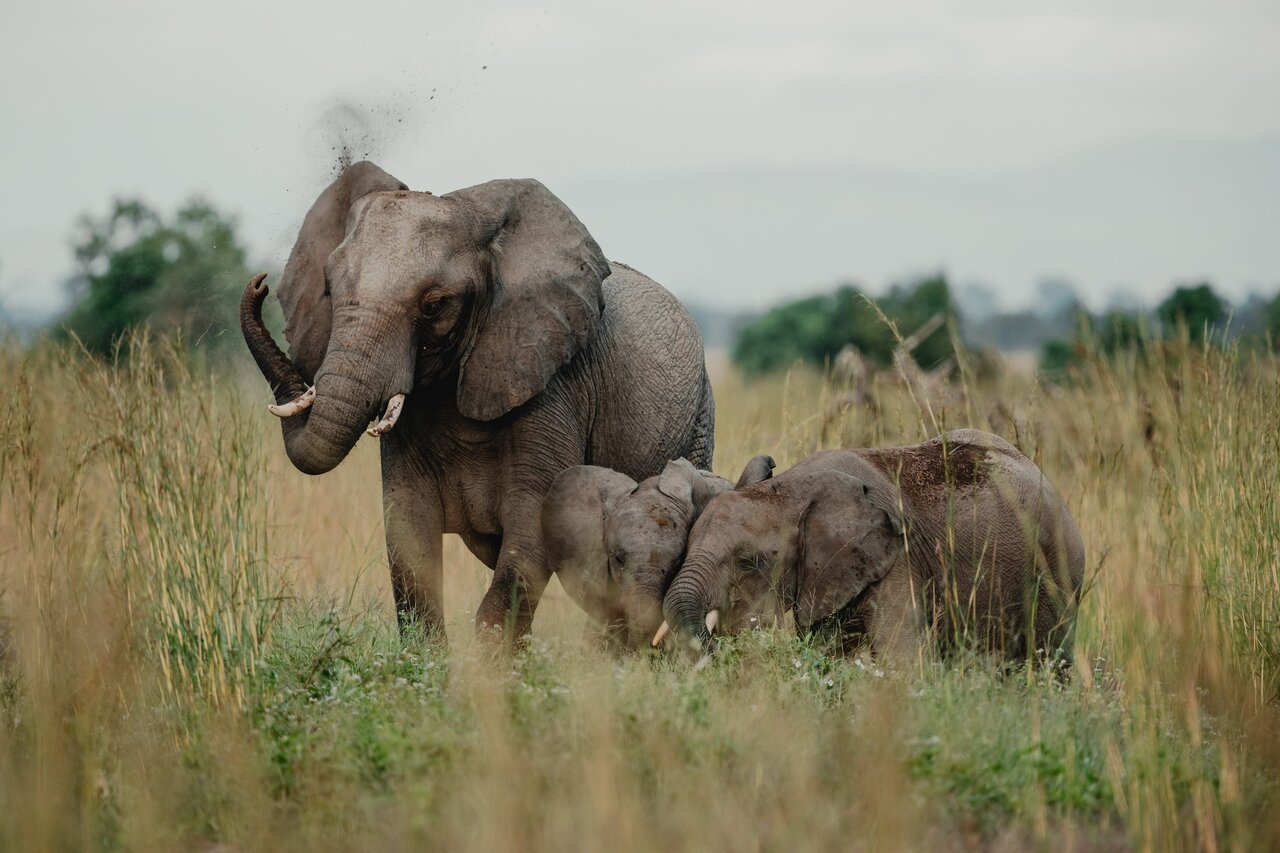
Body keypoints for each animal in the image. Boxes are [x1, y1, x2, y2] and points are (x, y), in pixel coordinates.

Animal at [240, 161, 715, 643]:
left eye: (434, 305)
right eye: (330, 291)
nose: (258, 285)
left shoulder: (553, 383)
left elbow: (531, 527)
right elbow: (408, 533)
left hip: (698, 418)